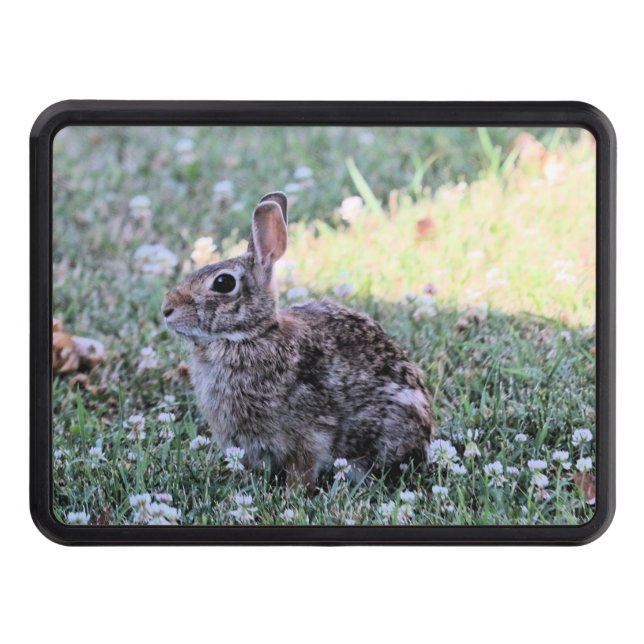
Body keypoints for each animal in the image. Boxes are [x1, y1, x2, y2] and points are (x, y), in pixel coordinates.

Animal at [162, 191, 436, 492]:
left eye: (223, 283)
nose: (166, 310)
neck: (252, 335)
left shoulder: (310, 434)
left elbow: (303, 468)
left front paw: (291, 494)